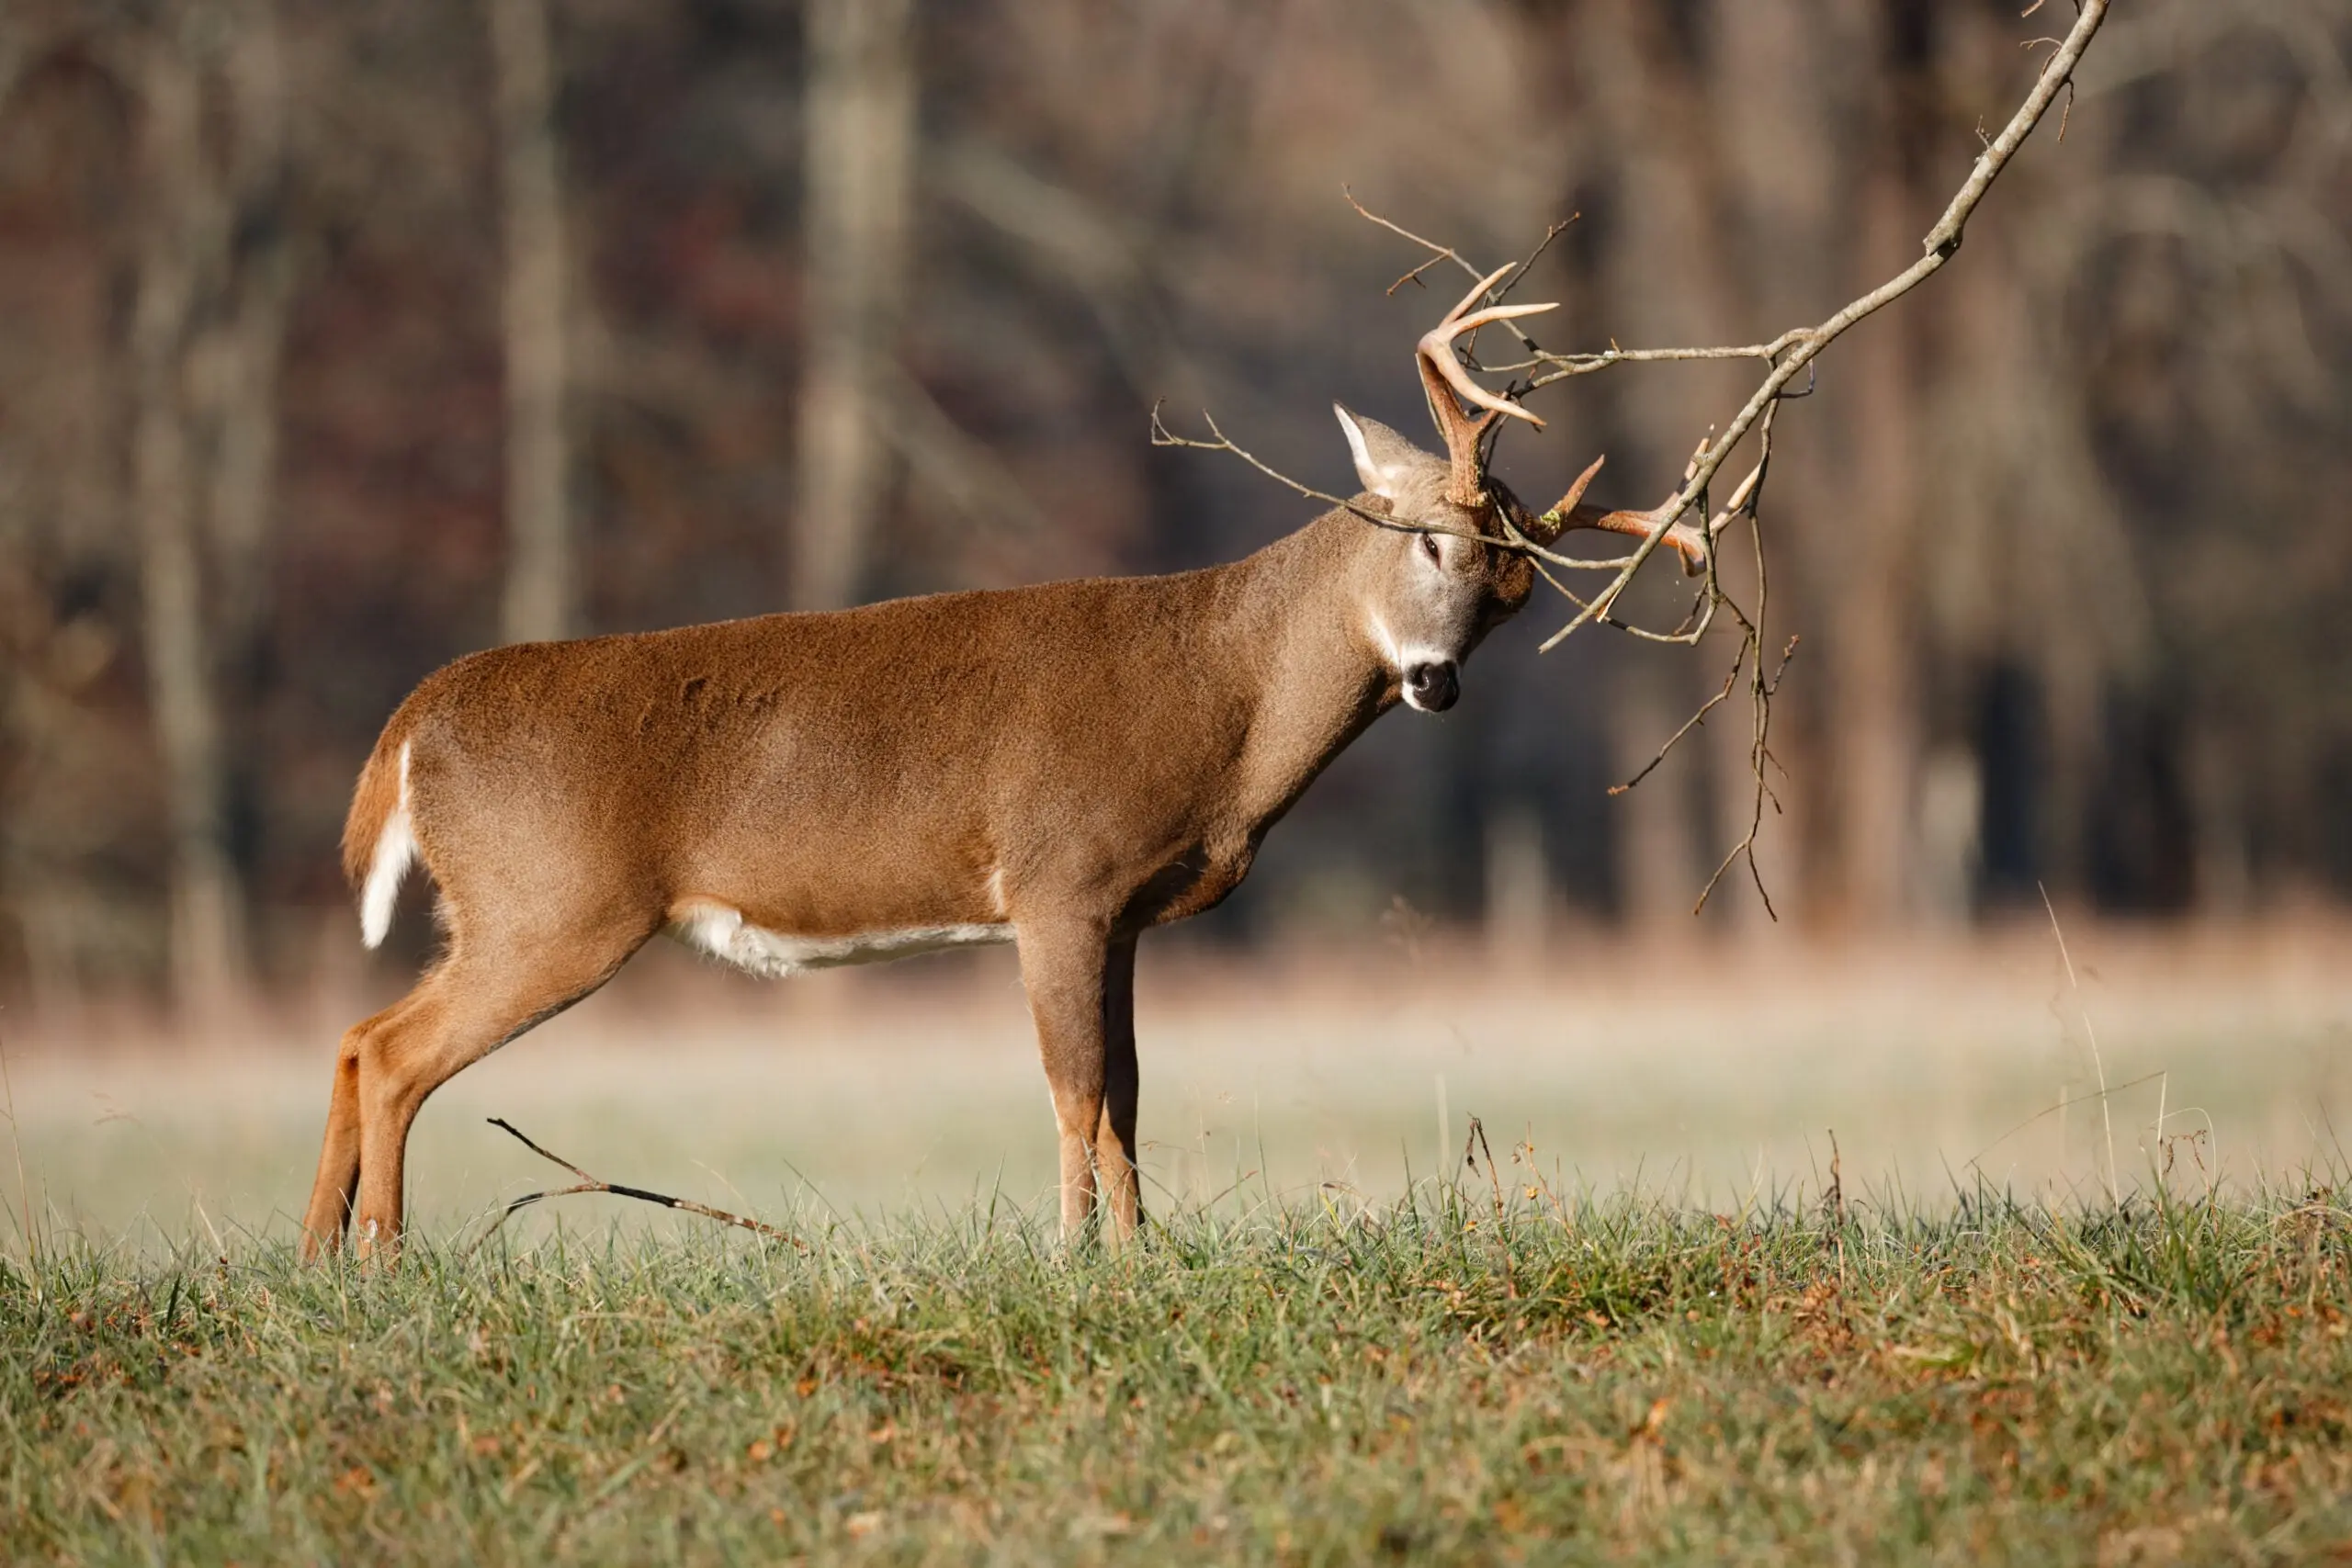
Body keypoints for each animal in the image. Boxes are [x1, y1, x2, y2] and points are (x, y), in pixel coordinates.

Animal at [303, 270, 1702, 1259]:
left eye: (1516, 596)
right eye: (1423, 539)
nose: (1435, 681)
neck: (1226, 694)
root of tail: (411, 722)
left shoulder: (1119, 909)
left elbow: (1127, 1089)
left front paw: (1141, 1256)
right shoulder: (1056, 880)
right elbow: (1074, 1090)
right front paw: (1078, 1255)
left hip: (509, 911)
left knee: (358, 1034)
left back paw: (323, 1257)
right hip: (553, 904)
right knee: (395, 1051)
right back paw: (380, 1259)